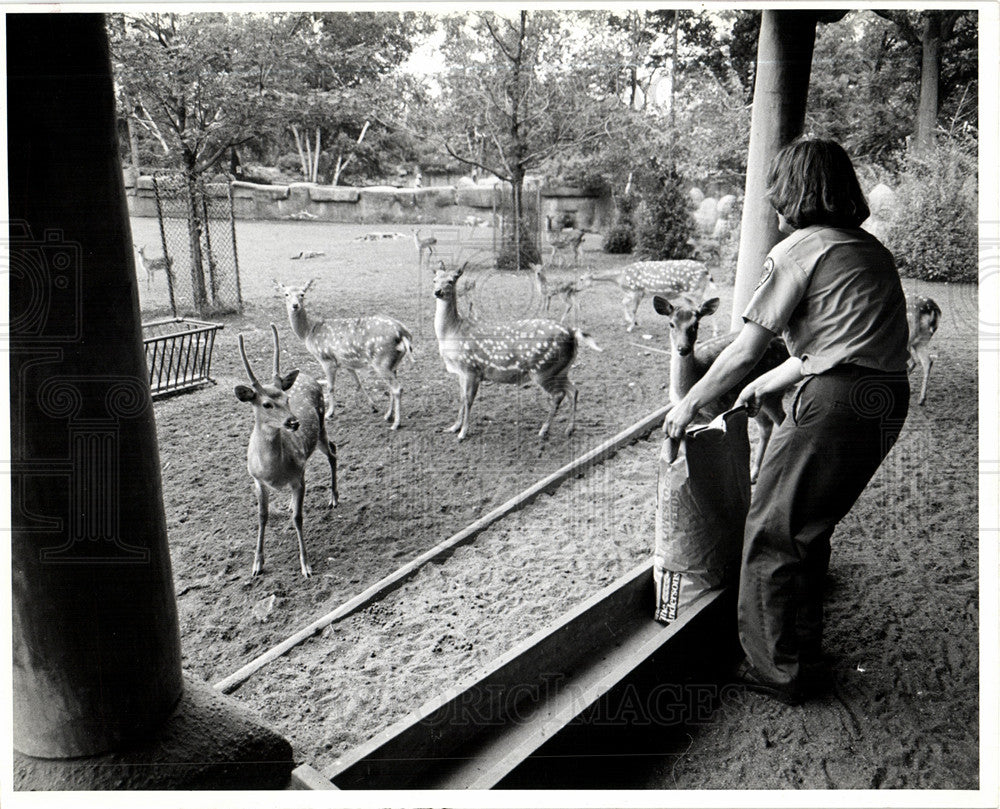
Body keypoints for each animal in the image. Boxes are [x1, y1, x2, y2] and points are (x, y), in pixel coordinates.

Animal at [235, 322, 340, 576]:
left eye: (286, 398)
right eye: (266, 404)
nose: (293, 422)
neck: (274, 471)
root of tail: (311, 377)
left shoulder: (298, 476)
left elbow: (298, 518)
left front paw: (306, 565)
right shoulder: (257, 480)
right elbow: (262, 516)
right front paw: (257, 564)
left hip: (321, 427)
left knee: (333, 451)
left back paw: (333, 498)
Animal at [274, 280, 414, 430]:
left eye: (302, 294)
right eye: (286, 294)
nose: (295, 305)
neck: (308, 332)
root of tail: (403, 334)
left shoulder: (326, 359)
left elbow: (330, 387)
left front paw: (329, 413)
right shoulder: (346, 362)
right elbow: (358, 384)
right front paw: (373, 407)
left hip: (382, 361)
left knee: (397, 388)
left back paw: (396, 423)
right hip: (393, 363)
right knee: (391, 388)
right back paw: (388, 415)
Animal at [432, 262, 600, 442]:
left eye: (451, 281)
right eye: (434, 279)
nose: (437, 291)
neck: (453, 333)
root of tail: (572, 332)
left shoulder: (471, 368)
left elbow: (468, 400)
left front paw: (462, 433)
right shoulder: (461, 372)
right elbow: (461, 399)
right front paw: (453, 427)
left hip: (543, 370)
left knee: (558, 395)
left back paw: (544, 430)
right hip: (561, 370)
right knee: (573, 390)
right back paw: (569, 429)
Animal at [584, 260, 720, 332]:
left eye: (581, 278)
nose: (578, 289)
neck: (619, 278)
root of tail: (706, 270)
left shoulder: (636, 291)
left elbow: (632, 309)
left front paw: (631, 327)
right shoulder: (635, 293)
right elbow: (624, 303)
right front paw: (632, 322)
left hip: (695, 290)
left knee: (707, 304)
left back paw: (715, 331)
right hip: (688, 295)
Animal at [656, 298, 788, 482]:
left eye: (695, 325)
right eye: (671, 324)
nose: (683, 348)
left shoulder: (718, 408)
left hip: (772, 393)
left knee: (782, 419)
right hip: (754, 397)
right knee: (766, 426)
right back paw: (754, 473)